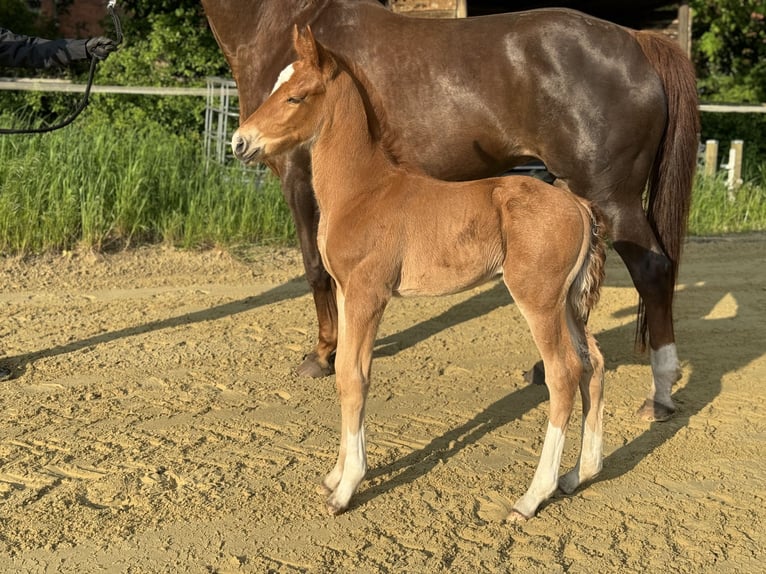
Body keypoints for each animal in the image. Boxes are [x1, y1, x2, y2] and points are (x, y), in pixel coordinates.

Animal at [204, 0, 704, 424]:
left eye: (295, 96)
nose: (240, 142)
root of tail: (637, 40)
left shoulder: (297, 178)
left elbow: (314, 269)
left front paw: (321, 355)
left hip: (613, 197)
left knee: (654, 271)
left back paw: (659, 395)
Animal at [231, 27, 608, 520]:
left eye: (295, 96)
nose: (239, 141)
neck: (363, 190)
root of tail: (578, 206)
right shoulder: (347, 294)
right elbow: (347, 373)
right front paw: (335, 475)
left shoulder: (369, 294)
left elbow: (354, 377)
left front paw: (346, 489)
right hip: (568, 303)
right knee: (592, 364)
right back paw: (579, 475)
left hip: (538, 299)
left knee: (562, 375)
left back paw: (531, 498)